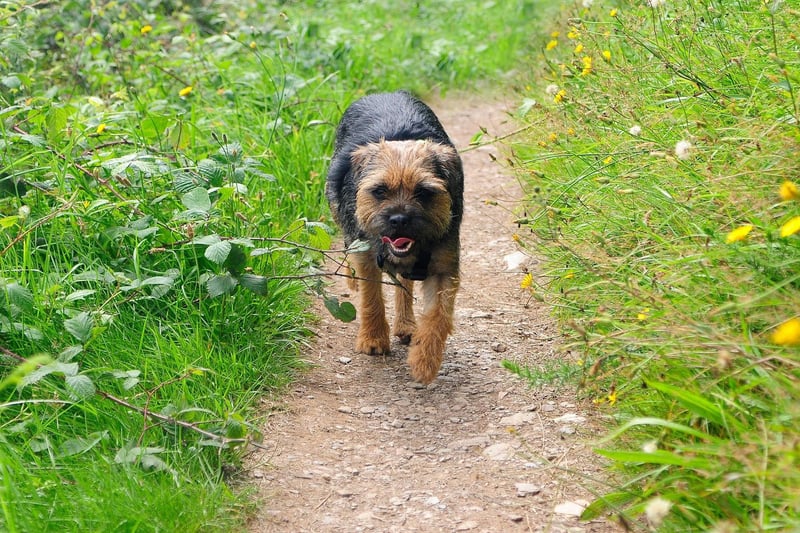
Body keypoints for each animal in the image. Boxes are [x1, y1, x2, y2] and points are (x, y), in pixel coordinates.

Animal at [324, 90, 462, 382]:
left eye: (423, 192)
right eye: (379, 191)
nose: (399, 219)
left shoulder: (443, 267)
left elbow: (439, 315)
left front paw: (424, 362)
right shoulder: (366, 256)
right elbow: (372, 297)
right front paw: (373, 339)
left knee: (404, 284)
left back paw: (407, 324)